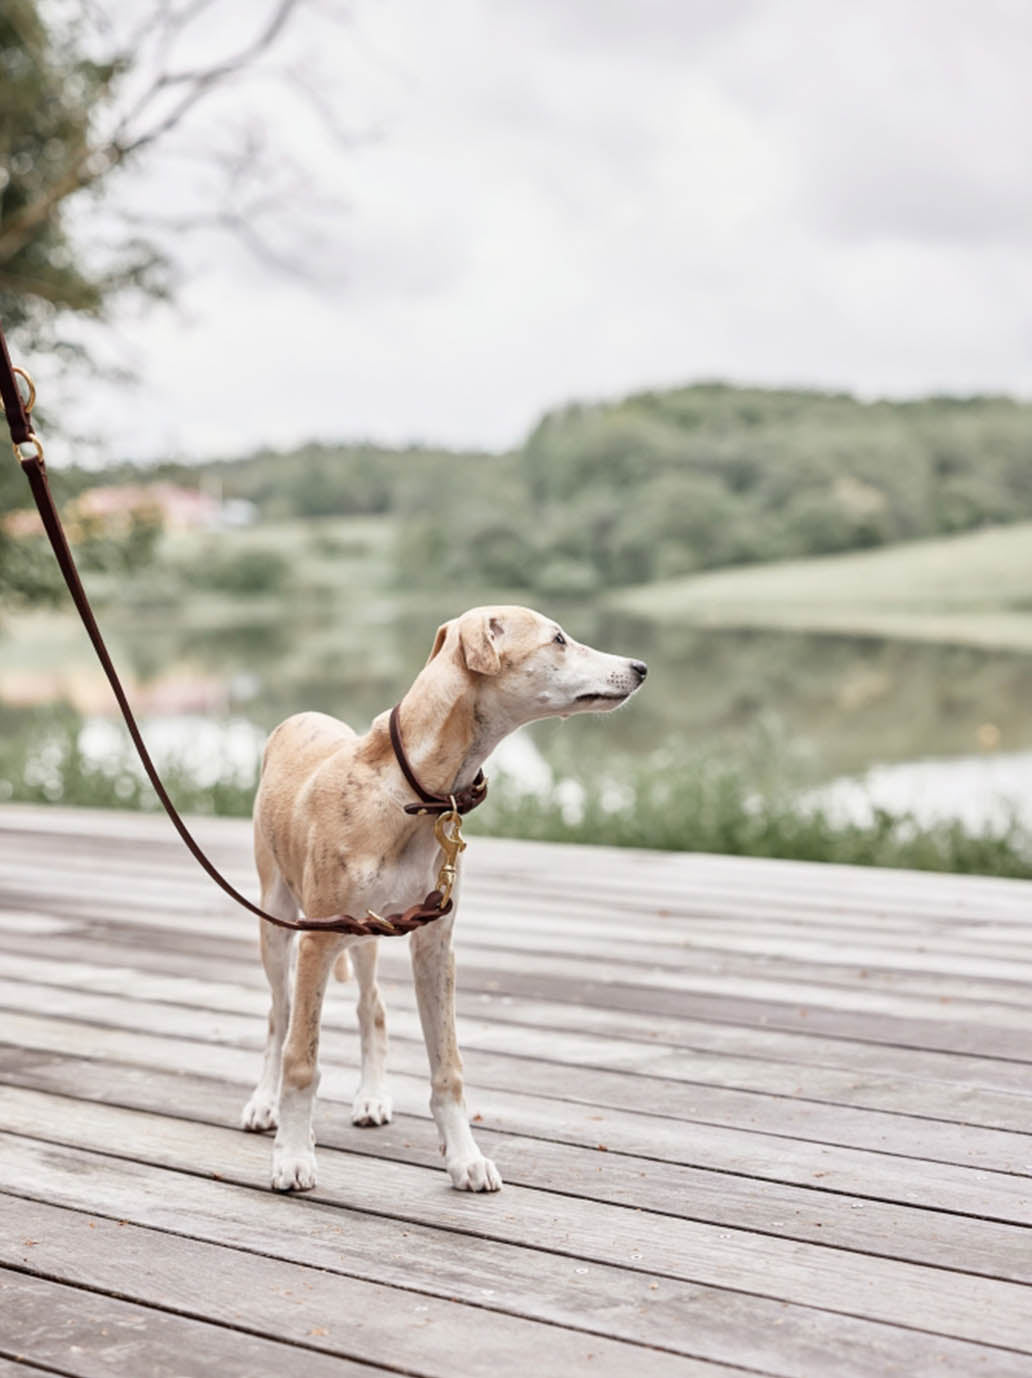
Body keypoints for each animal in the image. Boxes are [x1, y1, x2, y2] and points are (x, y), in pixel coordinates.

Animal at [241, 606, 644, 1196]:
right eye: (558, 639)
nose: (640, 667)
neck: (409, 791)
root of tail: (298, 717)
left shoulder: (433, 944)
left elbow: (447, 1065)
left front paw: (464, 1158)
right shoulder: (317, 940)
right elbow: (302, 1059)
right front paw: (293, 1155)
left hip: (364, 934)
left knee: (371, 1005)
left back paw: (371, 1096)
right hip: (279, 922)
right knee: (279, 1013)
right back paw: (264, 1104)